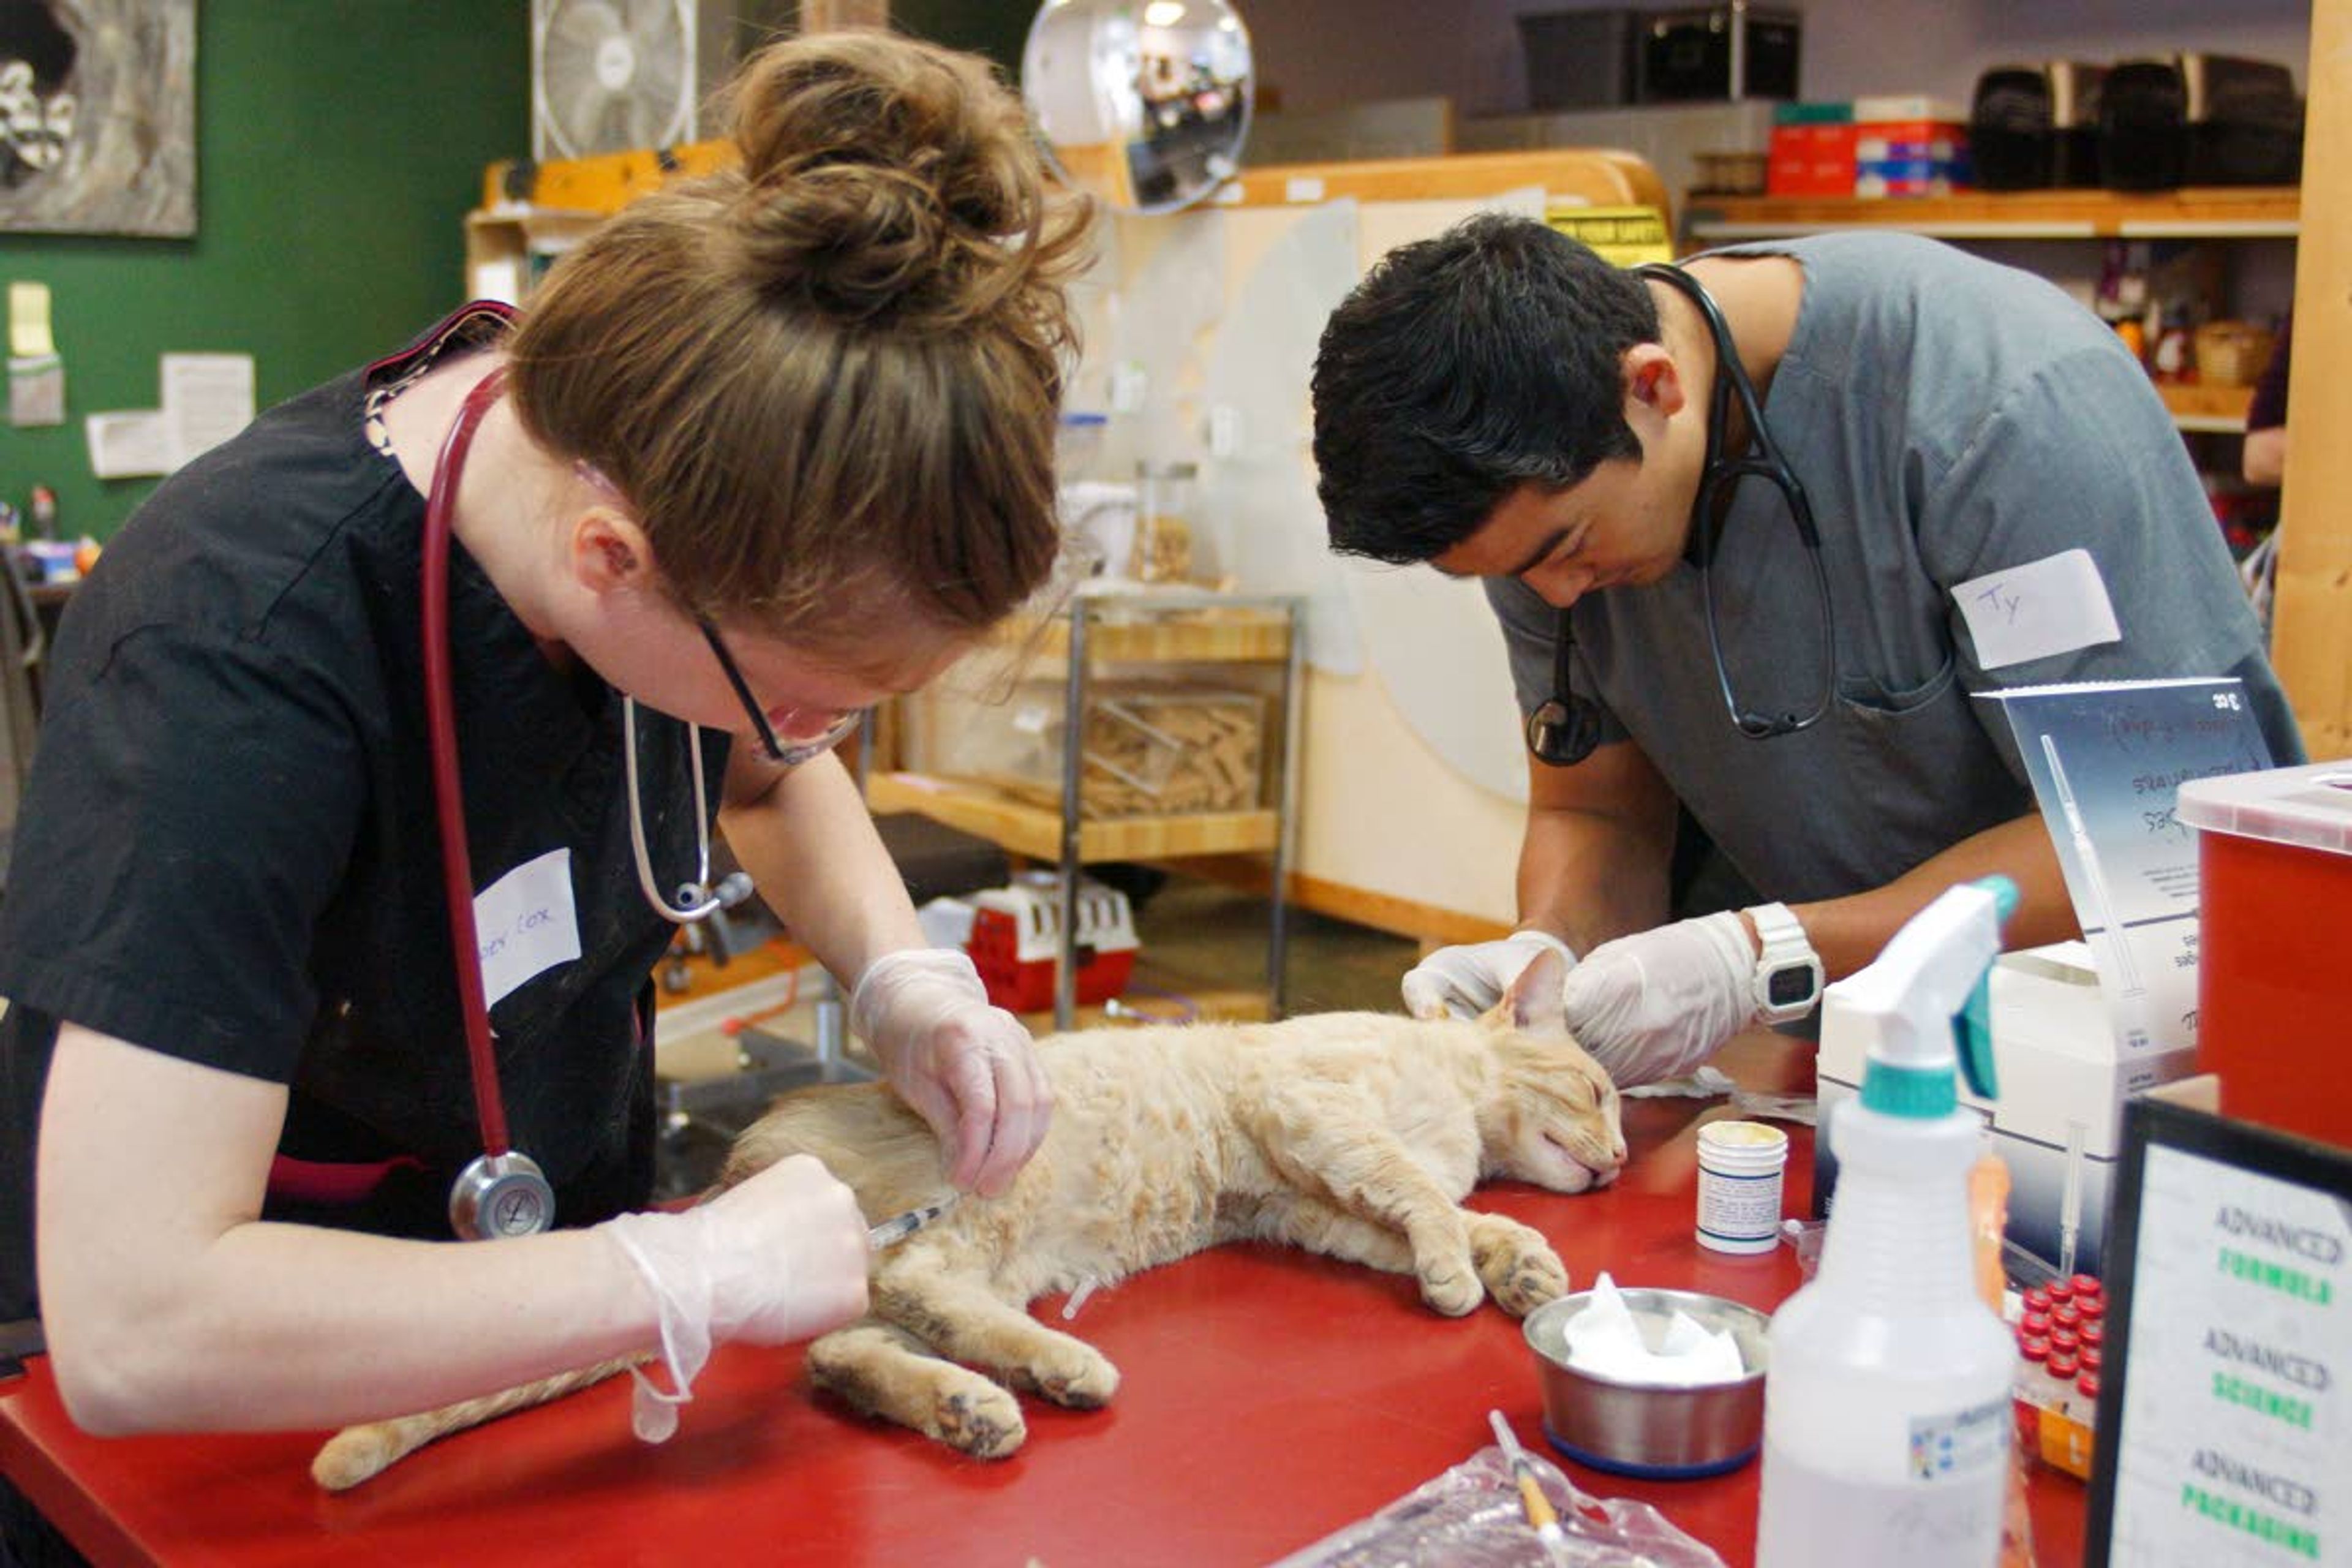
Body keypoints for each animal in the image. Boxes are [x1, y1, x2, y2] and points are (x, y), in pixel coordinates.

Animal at [312, 949, 1627, 1495]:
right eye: (1604, 1092)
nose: (1619, 1164)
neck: (1457, 1097)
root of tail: (744, 1167)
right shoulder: (1310, 1114)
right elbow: (1421, 1196)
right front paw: (1466, 1269)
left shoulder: (1302, 1200)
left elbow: (1445, 1216)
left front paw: (1522, 1268)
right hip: (979, 1223)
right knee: (900, 1301)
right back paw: (1058, 1369)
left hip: (964, 1271)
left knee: (846, 1353)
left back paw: (978, 1406)